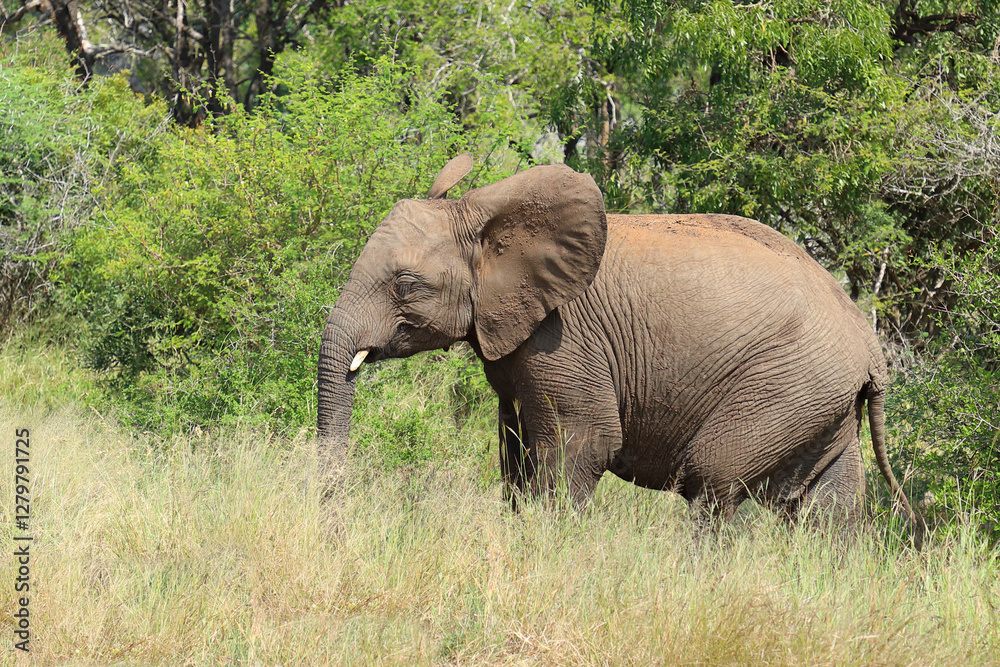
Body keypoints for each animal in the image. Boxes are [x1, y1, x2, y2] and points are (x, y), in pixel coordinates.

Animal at [317, 154, 919, 530]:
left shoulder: (562, 337)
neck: (488, 220)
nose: (335, 531)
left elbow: (581, 444)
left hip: (786, 384)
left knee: (714, 481)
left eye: (405, 284)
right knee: (828, 509)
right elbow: (515, 453)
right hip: (823, 400)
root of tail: (870, 348)